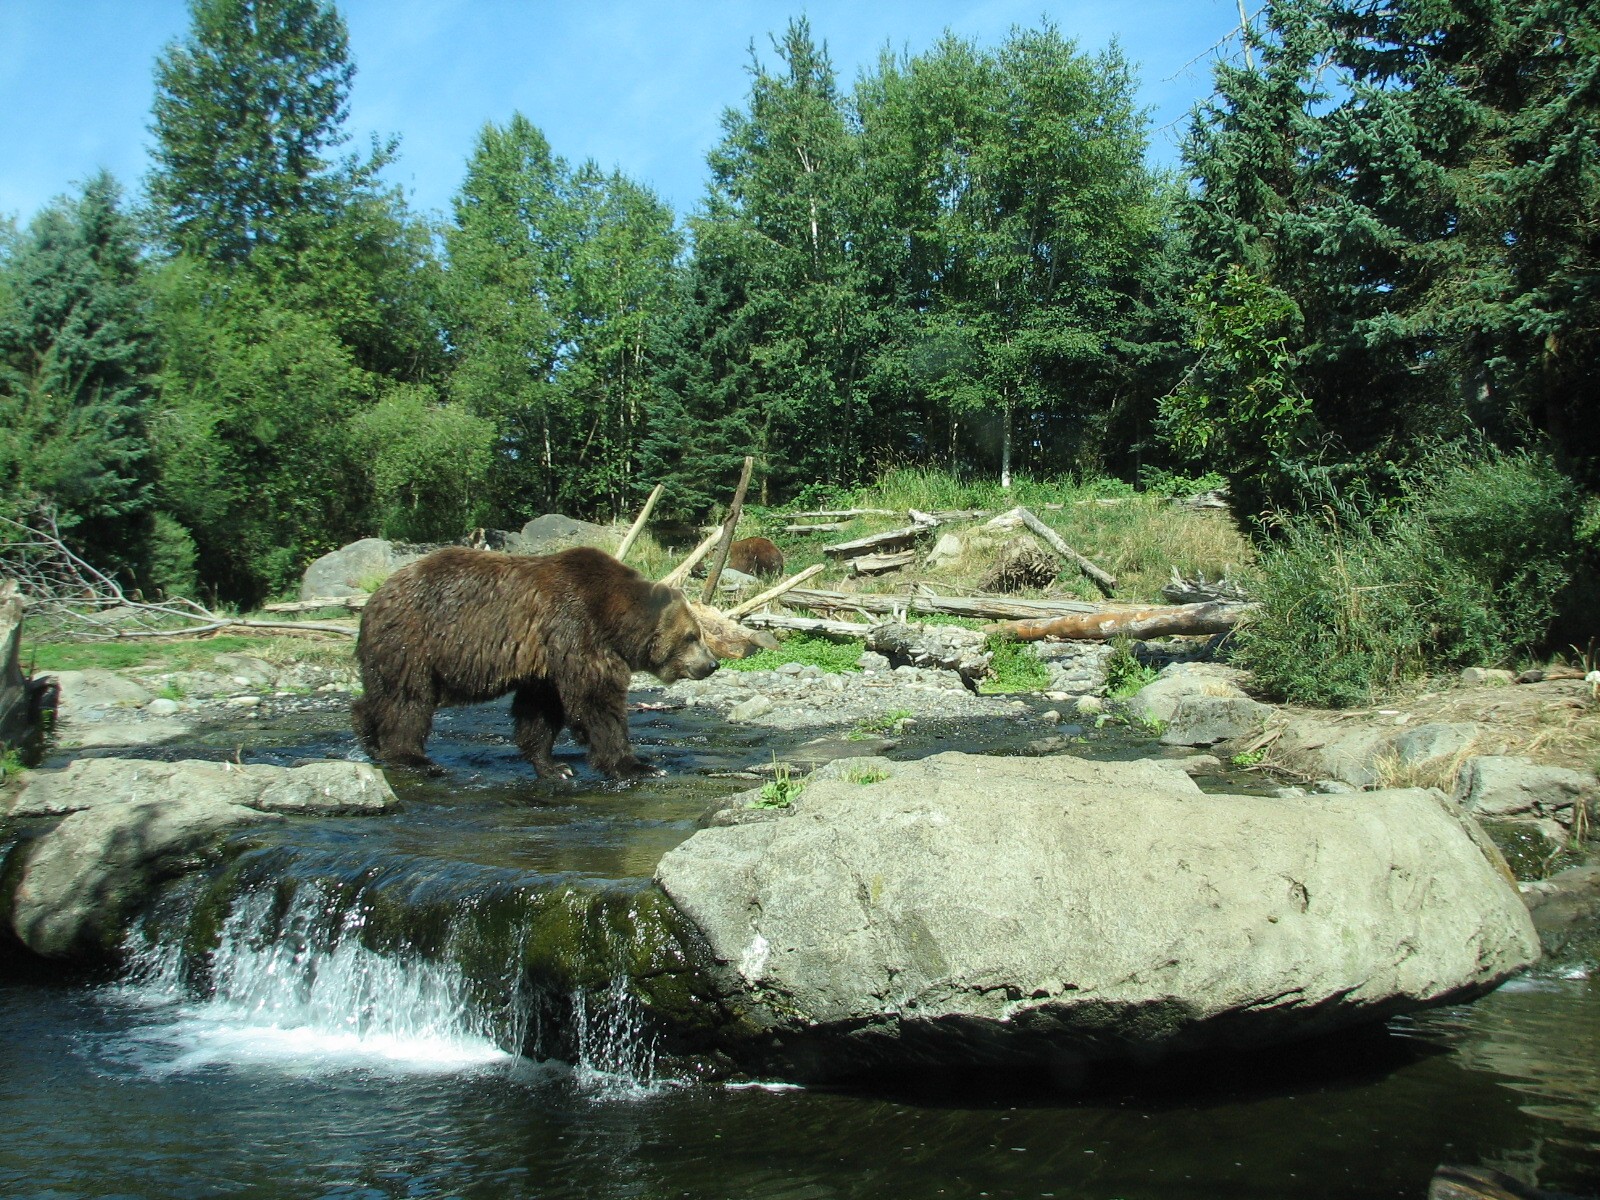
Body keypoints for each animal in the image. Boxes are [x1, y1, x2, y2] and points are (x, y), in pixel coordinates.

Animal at [352, 545, 718, 780]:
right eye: (693, 636)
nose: (712, 664)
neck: (613, 617)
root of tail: (376, 595)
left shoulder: (545, 663)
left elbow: (540, 711)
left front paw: (553, 766)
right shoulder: (574, 629)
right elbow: (596, 701)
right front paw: (636, 764)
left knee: (382, 693)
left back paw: (369, 738)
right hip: (415, 638)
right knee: (407, 698)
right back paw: (413, 758)